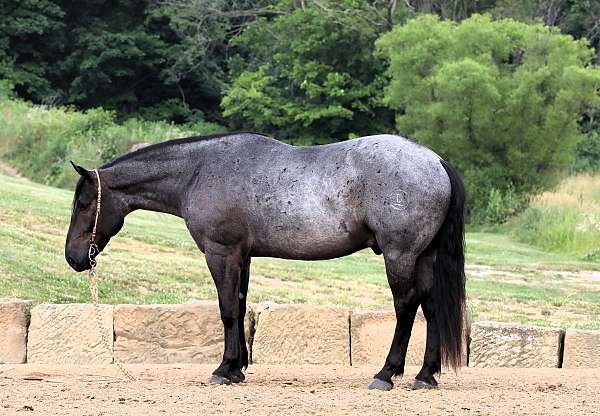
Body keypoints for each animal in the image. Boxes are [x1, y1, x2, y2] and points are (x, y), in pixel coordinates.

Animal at [67, 132, 468, 390]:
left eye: (84, 203)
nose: (73, 257)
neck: (199, 171)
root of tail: (435, 161)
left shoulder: (221, 254)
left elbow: (228, 310)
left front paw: (223, 369)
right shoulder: (242, 257)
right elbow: (241, 305)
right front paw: (237, 368)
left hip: (401, 256)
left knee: (406, 307)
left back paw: (386, 374)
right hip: (424, 257)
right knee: (431, 307)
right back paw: (425, 375)